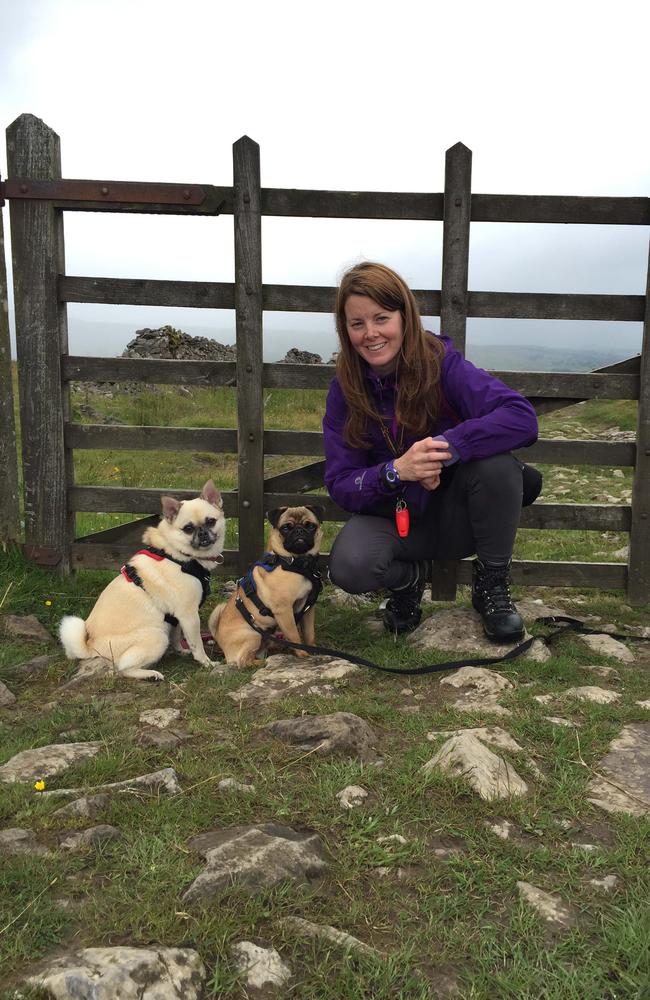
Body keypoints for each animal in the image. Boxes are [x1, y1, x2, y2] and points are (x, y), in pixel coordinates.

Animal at [59, 480, 225, 684]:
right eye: (188, 528)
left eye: (211, 521)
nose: (202, 533)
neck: (180, 556)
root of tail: (91, 647)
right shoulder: (189, 615)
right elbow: (197, 644)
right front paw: (206, 662)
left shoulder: (177, 618)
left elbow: (177, 637)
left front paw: (180, 651)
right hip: (157, 636)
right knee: (123, 669)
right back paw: (151, 674)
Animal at [209, 504, 322, 668]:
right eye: (286, 528)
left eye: (311, 526)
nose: (299, 530)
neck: (297, 563)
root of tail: (219, 638)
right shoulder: (284, 611)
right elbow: (295, 636)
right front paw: (302, 653)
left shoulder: (308, 610)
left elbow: (309, 634)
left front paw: (313, 649)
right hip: (253, 635)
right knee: (243, 661)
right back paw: (261, 663)